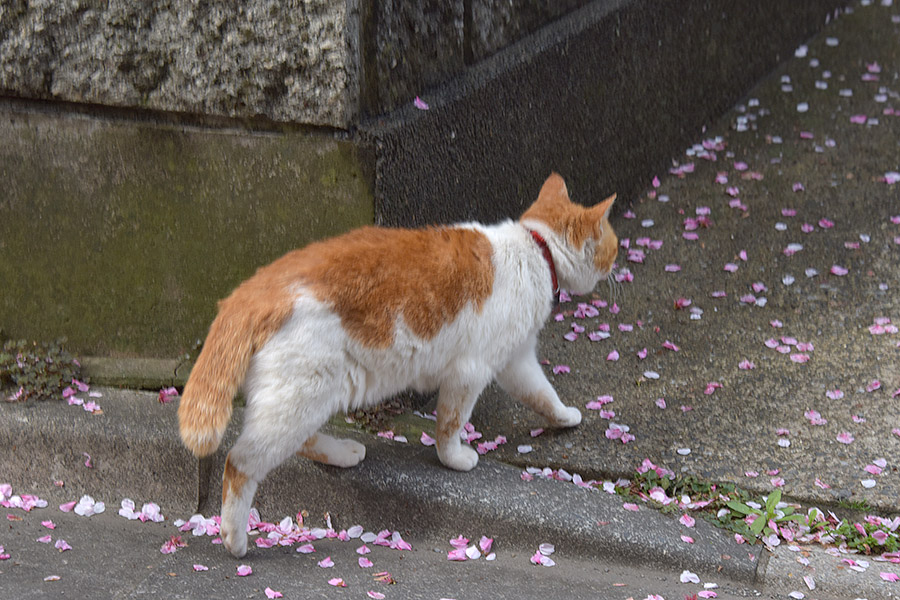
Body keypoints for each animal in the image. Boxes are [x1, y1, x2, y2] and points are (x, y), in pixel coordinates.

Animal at [181, 173, 620, 556]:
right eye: (614, 245)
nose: (618, 260)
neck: (535, 249)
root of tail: (253, 290)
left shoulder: (516, 360)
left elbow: (543, 394)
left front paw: (565, 417)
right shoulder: (472, 371)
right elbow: (450, 425)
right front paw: (455, 459)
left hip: (306, 398)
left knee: (298, 441)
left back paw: (343, 453)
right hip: (302, 395)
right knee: (240, 463)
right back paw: (234, 539)